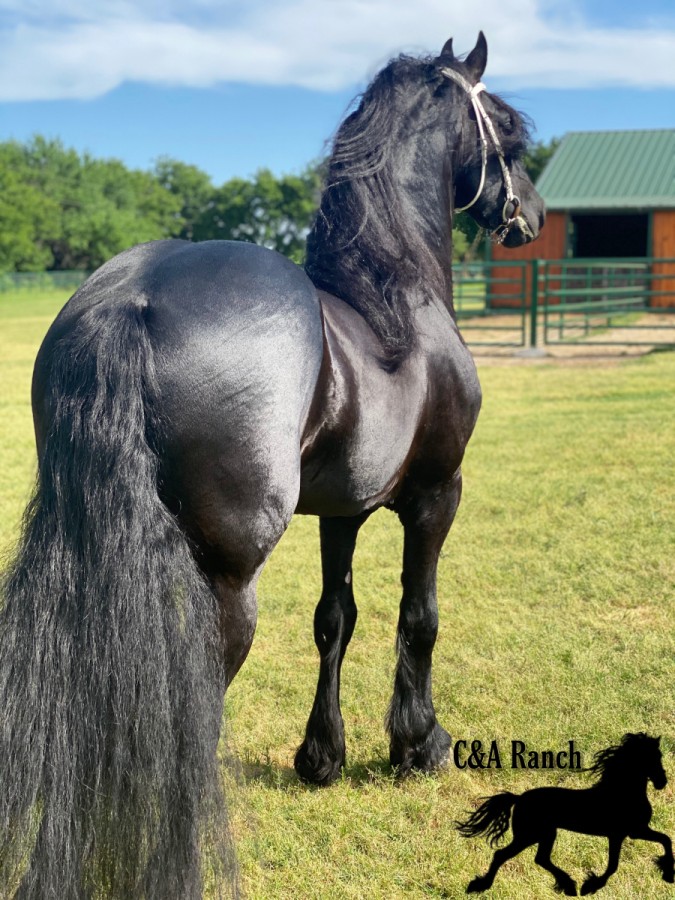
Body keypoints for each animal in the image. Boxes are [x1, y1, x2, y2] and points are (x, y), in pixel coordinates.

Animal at [0, 31, 544, 899]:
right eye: (508, 132)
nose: (533, 214)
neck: (397, 300)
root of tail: (133, 297)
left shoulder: (342, 511)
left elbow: (335, 619)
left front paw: (321, 757)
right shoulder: (436, 495)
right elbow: (418, 616)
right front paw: (418, 743)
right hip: (227, 580)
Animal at [457, 733, 674, 896]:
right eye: (651, 757)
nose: (662, 782)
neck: (621, 793)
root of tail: (518, 798)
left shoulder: (634, 832)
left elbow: (665, 839)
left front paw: (667, 873)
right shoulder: (624, 834)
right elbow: (614, 865)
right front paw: (590, 886)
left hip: (545, 834)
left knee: (540, 859)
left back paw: (567, 885)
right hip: (530, 835)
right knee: (503, 855)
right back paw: (481, 886)